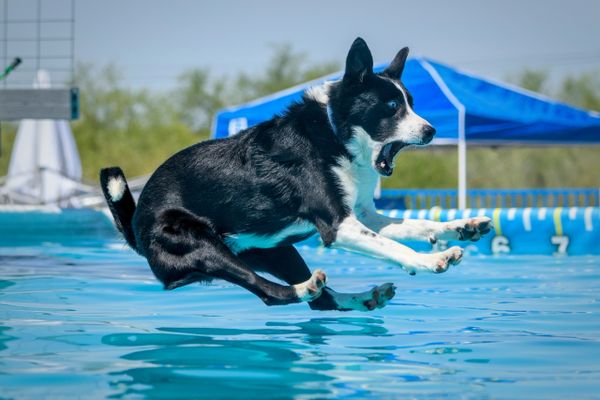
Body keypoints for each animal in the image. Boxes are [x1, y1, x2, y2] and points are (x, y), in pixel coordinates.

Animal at [99, 38, 492, 312]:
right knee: (267, 291)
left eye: (412, 103)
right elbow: (395, 246)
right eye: (393, 107)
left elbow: (413, 225)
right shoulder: (338, 225)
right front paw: (430, 260)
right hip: (202, 244)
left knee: (320, 302)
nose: (431, 131)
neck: (334, 133)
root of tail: (136, 223)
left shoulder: (364, 215)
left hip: (274, 250)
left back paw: (362, 298)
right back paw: (305, 288)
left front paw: (464, 226)